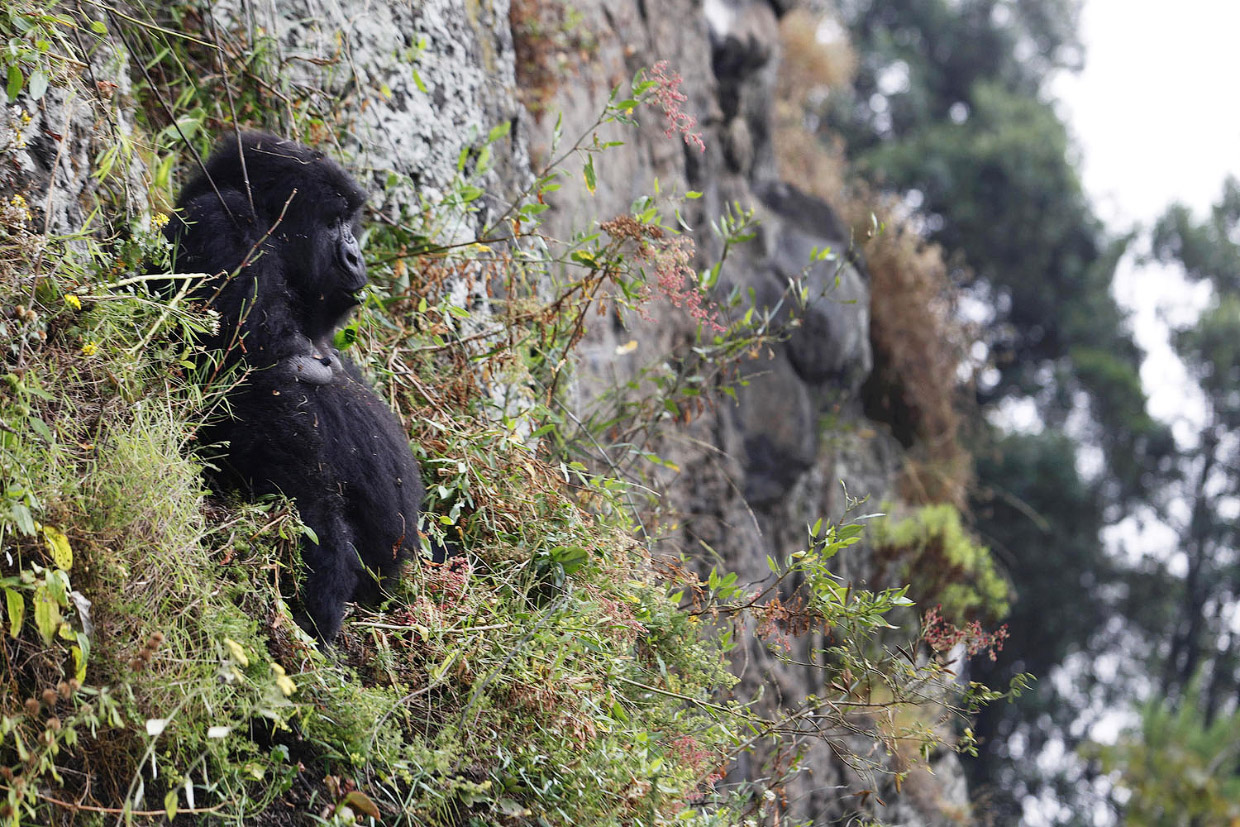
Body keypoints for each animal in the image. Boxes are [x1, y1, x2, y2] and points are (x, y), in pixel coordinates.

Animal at [168, 132, 431, 644]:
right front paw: (323, 579)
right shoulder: (221, 225)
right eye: (332, 222)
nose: (355, 254)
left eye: (349, 222)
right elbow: (263, 389)